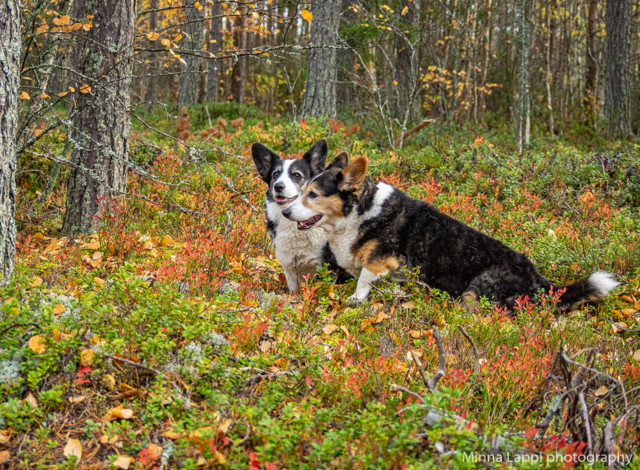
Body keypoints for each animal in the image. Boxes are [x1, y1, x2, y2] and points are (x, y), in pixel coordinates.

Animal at [282, 152, 620, 310]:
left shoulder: (380, 261)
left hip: (475, 291)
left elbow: (364, 279)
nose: (284, 212)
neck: (359, 212)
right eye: (303, 190)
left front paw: (355, 300)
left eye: (313, 195)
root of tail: (542, 282)